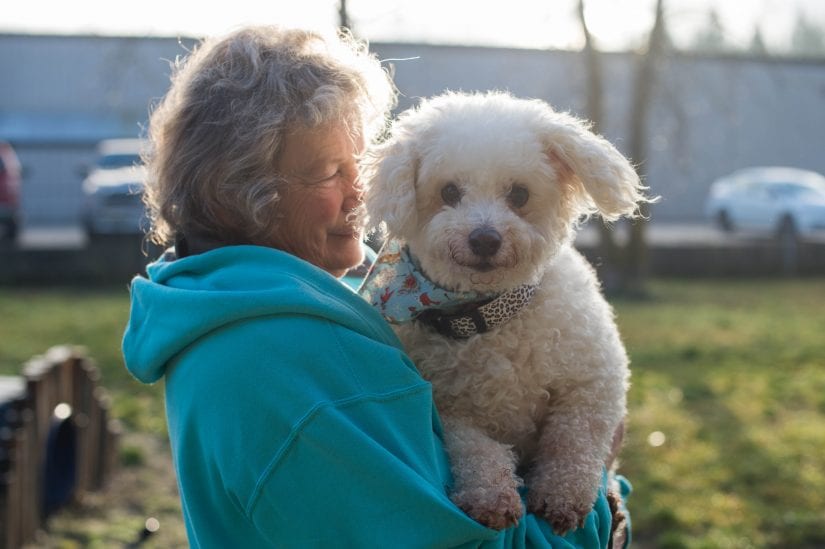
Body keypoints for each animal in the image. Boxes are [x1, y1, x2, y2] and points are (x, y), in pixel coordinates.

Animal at [360, 92, 652, 532]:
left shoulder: (594, 381)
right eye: (449, 192)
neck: (492, 317)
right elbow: (477, 449)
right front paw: (491, 496)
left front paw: (563, 493)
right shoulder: (449, 411)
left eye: (519, 194)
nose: (485, 239)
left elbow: (574, 439)